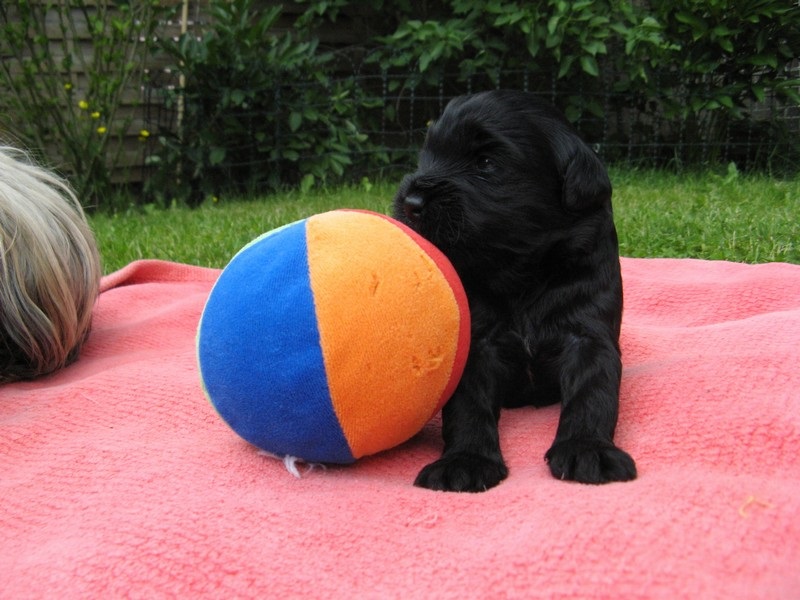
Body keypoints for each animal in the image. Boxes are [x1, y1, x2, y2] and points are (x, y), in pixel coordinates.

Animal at [393, 90, 637, 492]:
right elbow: (468, 404)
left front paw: (587, 448)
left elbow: (593, 390)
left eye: (486, 163)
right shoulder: (478, 343)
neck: (522, 274)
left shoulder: (588, 335)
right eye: (426, 156)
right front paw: (465, 460)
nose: (410, 203)